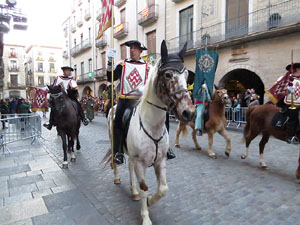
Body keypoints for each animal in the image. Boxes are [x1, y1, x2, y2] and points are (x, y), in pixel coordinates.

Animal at [102, 40, 195, 225]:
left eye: (187, 75)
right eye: (168, 75)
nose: (189, 113)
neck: (152, 125)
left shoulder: (160, 162)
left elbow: (163, 189)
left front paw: (151, 201)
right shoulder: (141, 163)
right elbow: (145, 188)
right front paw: (146, 216)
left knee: (129, 166)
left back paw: (134, 192)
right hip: (114, 142)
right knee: (117, 161)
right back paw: (117, 178)